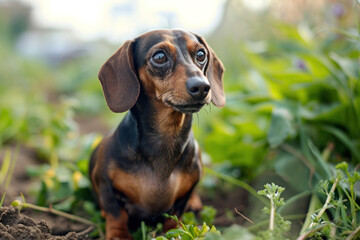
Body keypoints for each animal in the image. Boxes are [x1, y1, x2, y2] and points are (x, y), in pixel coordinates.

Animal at [89, 29, 225, 239]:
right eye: (159, 56)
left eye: (201, 54)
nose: (202, 86)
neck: (166, 137)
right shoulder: (104, 183)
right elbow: (116, 213)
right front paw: (118, 234)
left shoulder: (183, 196)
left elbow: (175, 215)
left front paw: (174, 232)